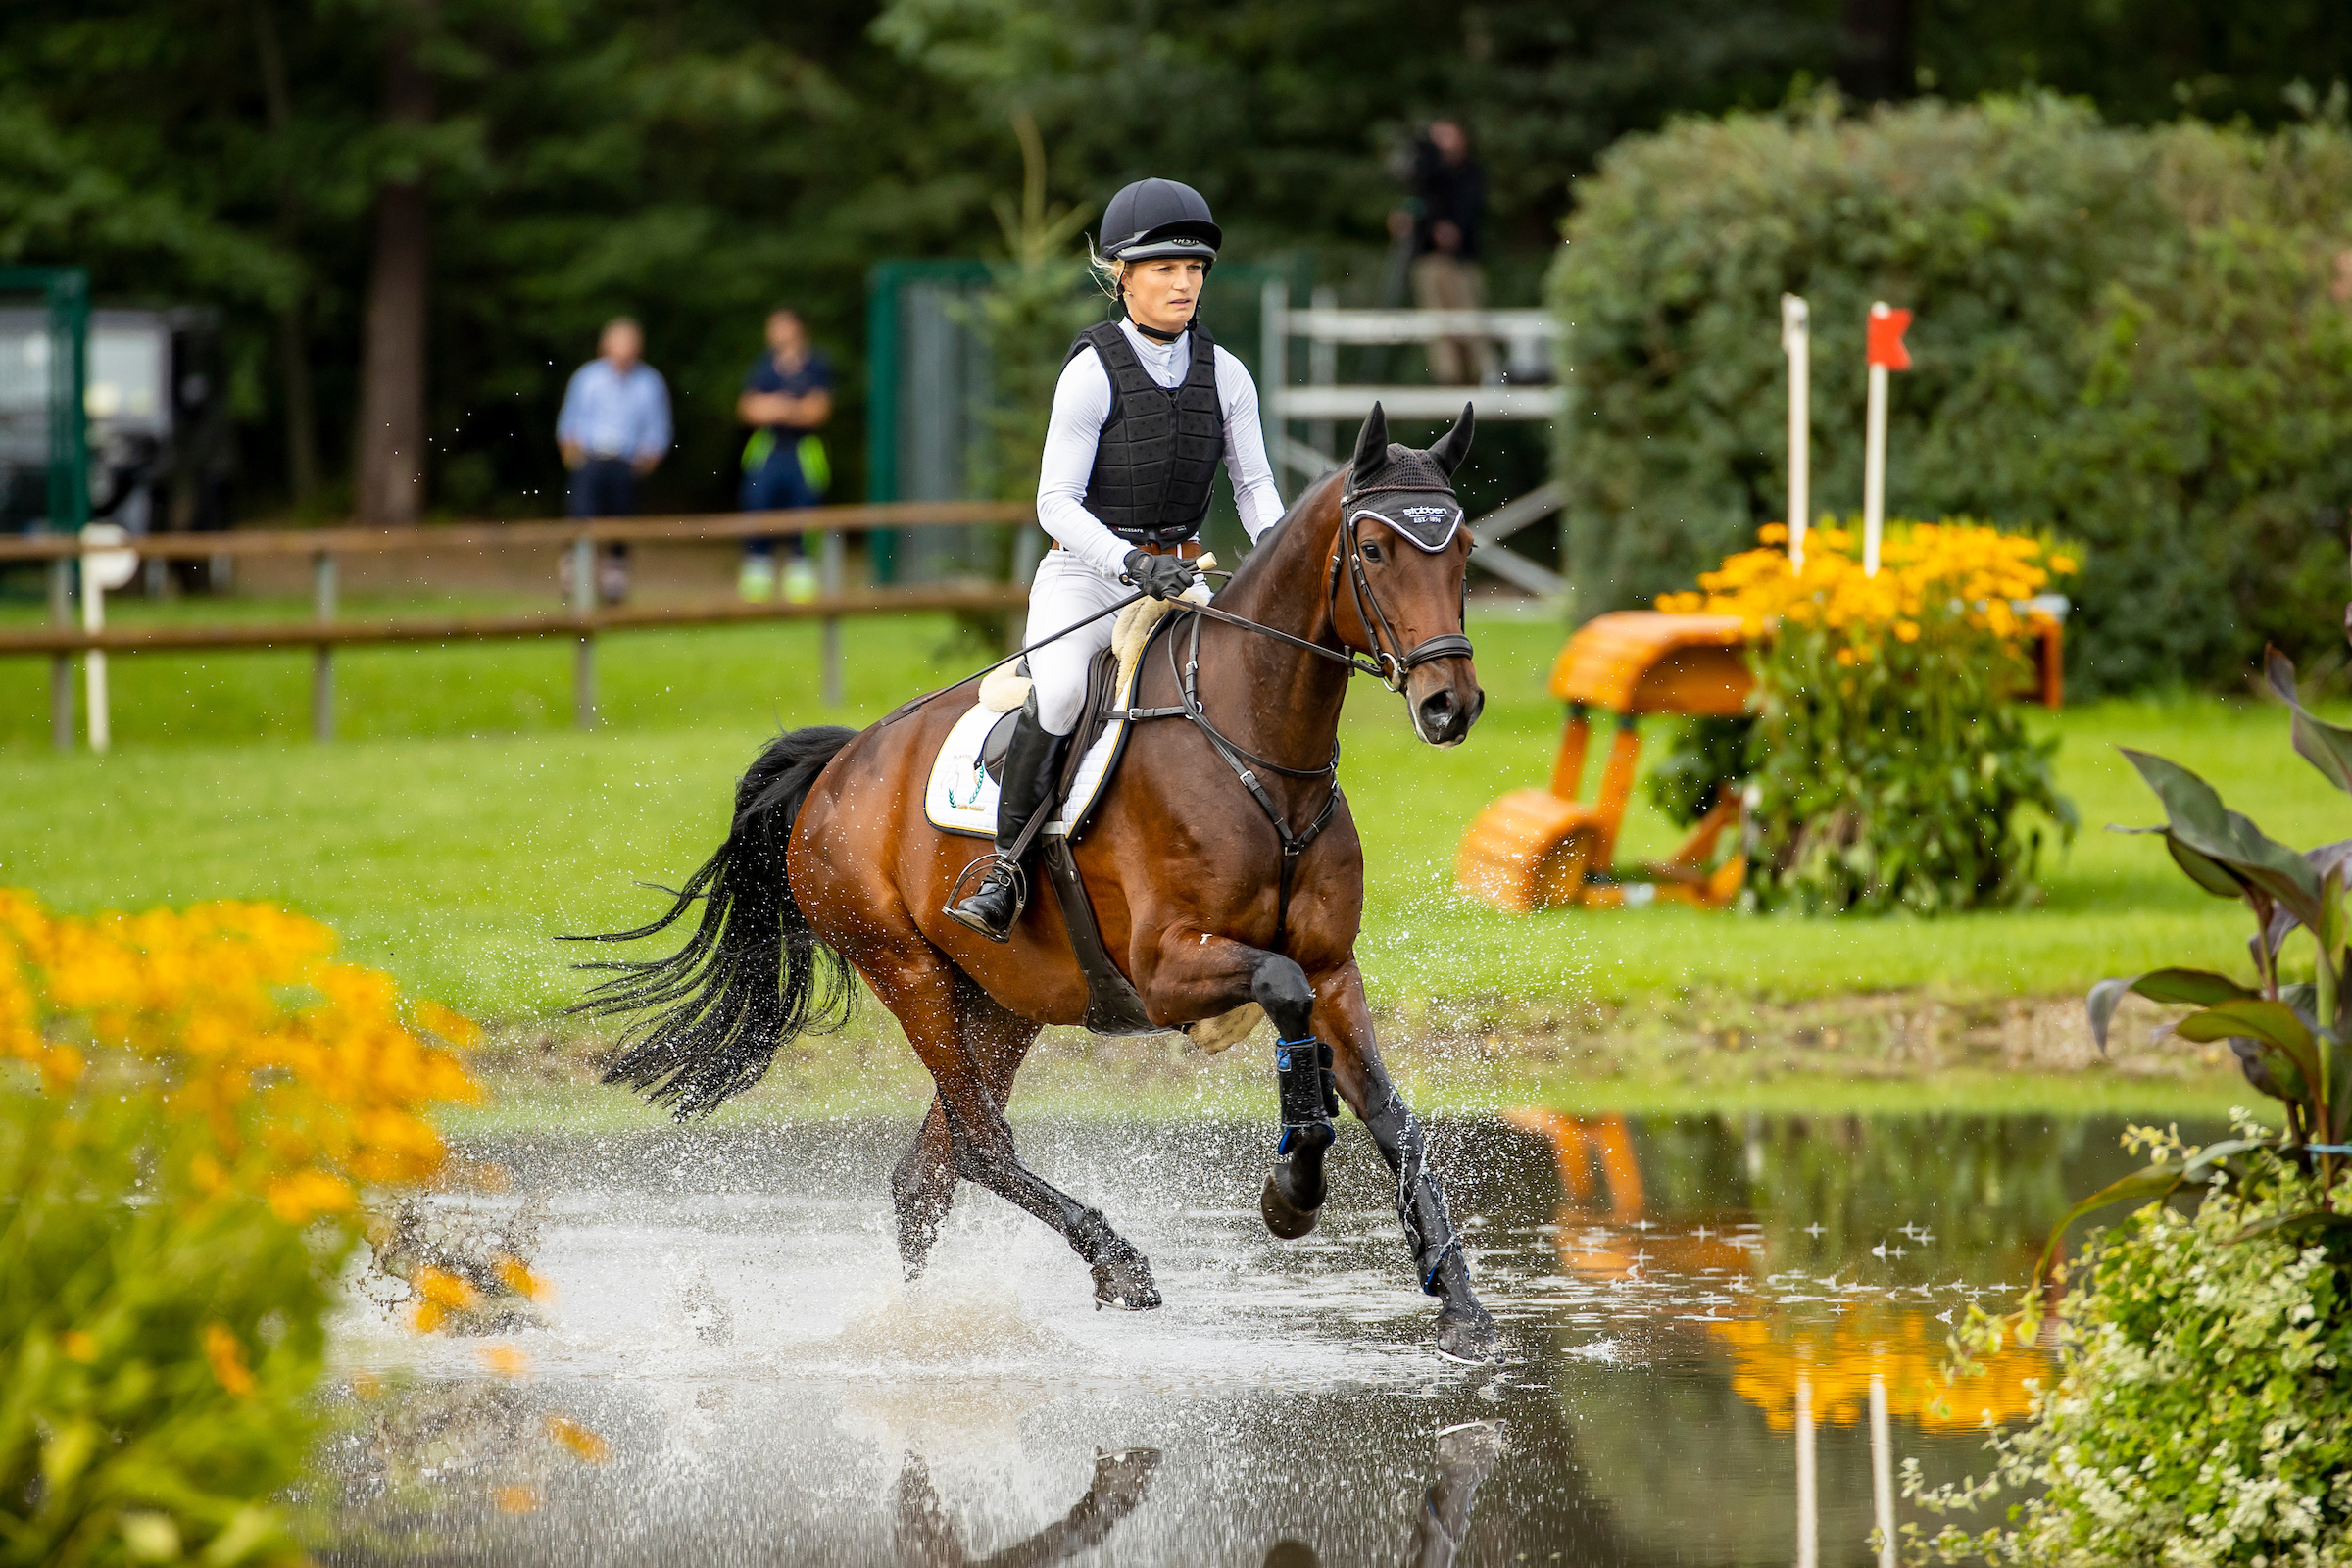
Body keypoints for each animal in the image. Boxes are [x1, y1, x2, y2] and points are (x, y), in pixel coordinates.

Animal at [571, 404, 1495, 1363]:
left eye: (1462, 548)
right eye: (1375, 549)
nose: (1449, 705)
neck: (1255, 750)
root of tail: (842, 763)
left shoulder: (1330, 969)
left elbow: (1393, 1116)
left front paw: (1460, 1305)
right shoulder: (1168, 970)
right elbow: (1284, 1005)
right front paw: (1292, 1196)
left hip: (1003, 1001)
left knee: (928, 1173)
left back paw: (923, 1328)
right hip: (908, 972)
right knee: (979, 1147)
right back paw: (1114, 1263)